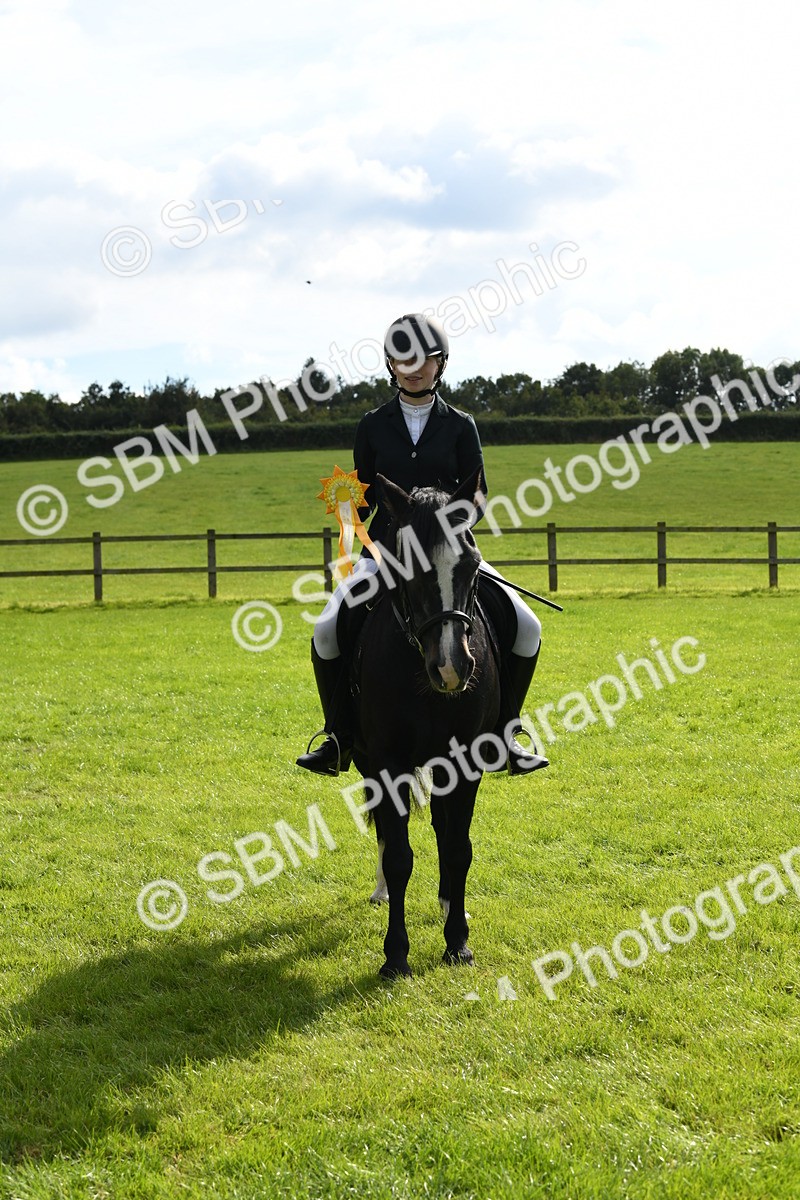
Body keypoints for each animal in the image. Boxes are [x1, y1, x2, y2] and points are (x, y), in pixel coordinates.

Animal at [349, 467, 501, 979]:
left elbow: (457, 847)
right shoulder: (386, 761)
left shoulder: (466, 761)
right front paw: (395, 955)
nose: (452, 667)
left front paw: (458, 942)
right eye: (407, 566)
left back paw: (448, 900)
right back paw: (380, 891)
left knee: (440, 825)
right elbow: (398, 856)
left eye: (472, 563)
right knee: (384, 827)